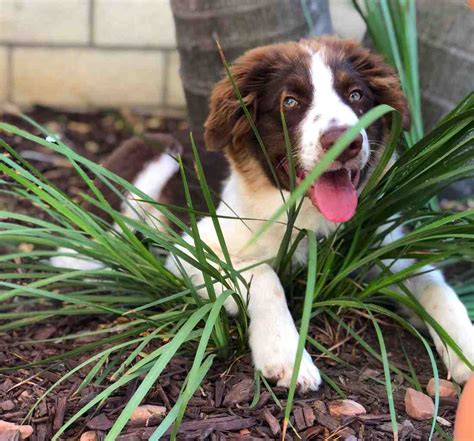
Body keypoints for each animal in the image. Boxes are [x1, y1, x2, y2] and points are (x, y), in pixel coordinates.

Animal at [51, 37, 474, 388]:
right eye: (290, 102)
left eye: (356, 95)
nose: (346, 142)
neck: (306, 216)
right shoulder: (194, 249)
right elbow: (265, 276)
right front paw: (285, 354)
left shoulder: (383, 248)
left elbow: (436, 284)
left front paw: (464, 348)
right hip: (151, 160)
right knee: (97, 240)